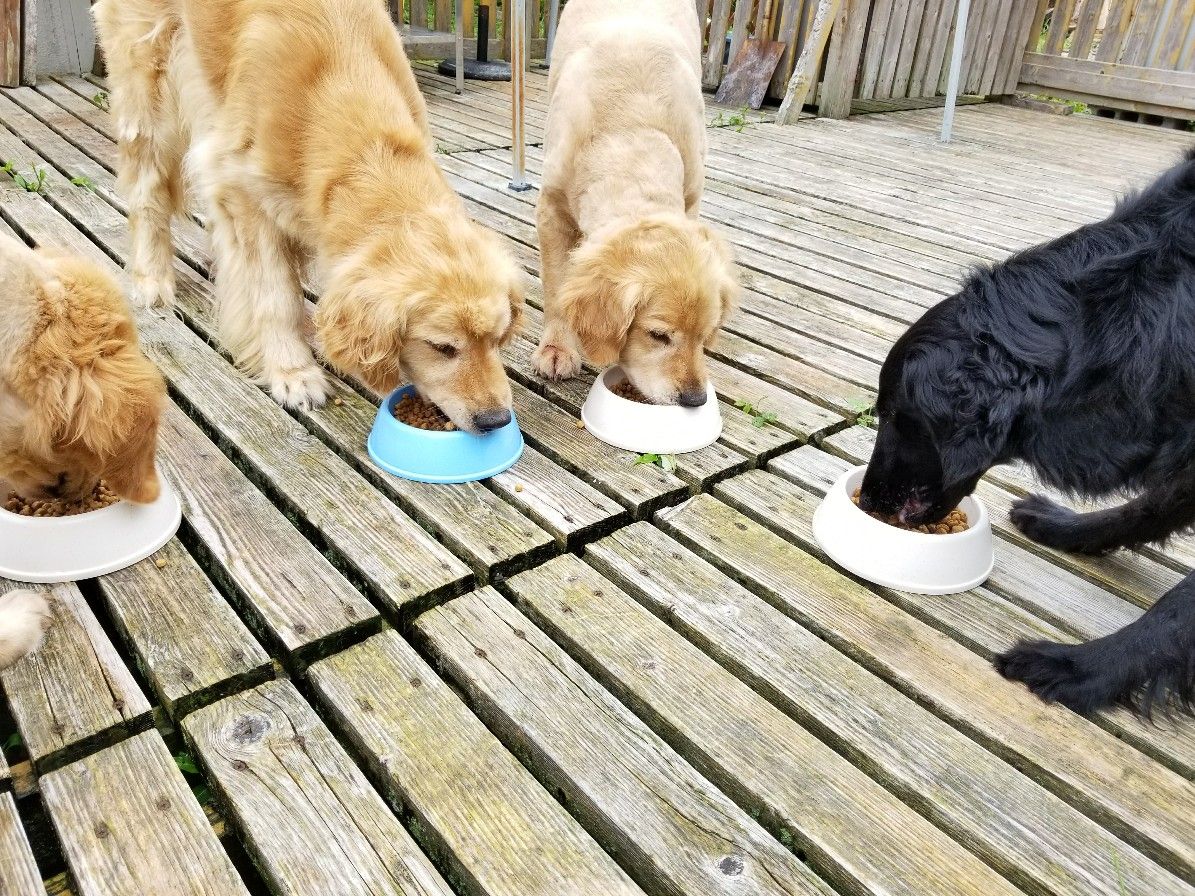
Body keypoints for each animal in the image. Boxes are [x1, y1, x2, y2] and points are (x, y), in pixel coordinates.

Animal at [95, 0, 524, 431]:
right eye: (441, 347)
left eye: (498, 339)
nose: (496, 419)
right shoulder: (247, 194)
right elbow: (276, 296)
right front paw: (293, 372)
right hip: (149, 89)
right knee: (147, 193)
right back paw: (152, 279)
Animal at [531, 0, 739, 405]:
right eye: (657, 335)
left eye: (704, 335)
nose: (695, 399)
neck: (630, 129)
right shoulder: (551, 211)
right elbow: (556, 288)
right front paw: (557, 348)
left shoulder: (692, 196)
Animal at [859, 147, 1195, 716]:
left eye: (898, 417)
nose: (867, 502)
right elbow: (1150, 508)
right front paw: (1073, 530)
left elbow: (1179, 607)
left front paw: (1082, 669)